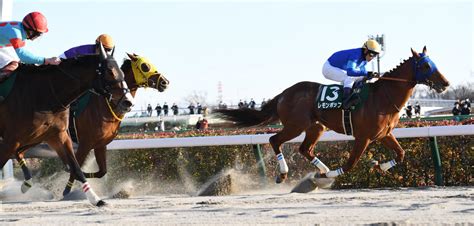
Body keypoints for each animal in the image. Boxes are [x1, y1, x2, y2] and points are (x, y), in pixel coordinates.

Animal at [0, 44, 133, 207]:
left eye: (121, 72)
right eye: (109, 71)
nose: (128, 102)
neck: (43, 93)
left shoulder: (59, 135)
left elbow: (76, 167)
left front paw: (96, 199)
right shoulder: (11, 140)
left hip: (36, 137)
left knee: (20, 152)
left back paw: (27, 184)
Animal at [15, 53, 169, 196]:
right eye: (145, 66)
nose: (164, 82)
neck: (104, 106)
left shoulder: (101, 144)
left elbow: (101, 171)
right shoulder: (85, 143)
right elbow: (76, 167)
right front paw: (66, 191)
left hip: (40, 137)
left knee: (19, 152)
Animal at [217, 46, 450, 183]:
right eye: (426, 65)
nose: (445, 84)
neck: (383, 97)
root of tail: (284, 93)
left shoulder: (383, 135)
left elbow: (401, 153)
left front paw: (380, 166)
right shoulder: (363, 137)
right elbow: (350, 163)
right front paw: (331, 175)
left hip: (316, 126)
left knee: (305, 149)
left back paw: (321, 169)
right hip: (295, 125)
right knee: (275, 140)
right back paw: (284, 173)